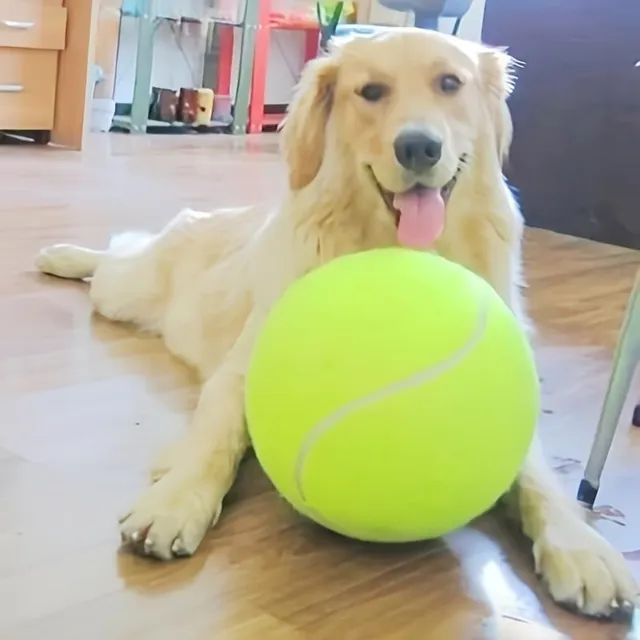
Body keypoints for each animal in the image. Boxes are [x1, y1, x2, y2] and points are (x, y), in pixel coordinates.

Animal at [37, 28, 636, 616]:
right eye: (370, 92)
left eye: (450, 83)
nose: (418, 146)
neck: (398, 252)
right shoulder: (240, 373)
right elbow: (216, 436)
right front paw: (176, 499)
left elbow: (538, 480)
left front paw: (582, 548)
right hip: (126, 290)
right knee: (115, 256)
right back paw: (62, 255)